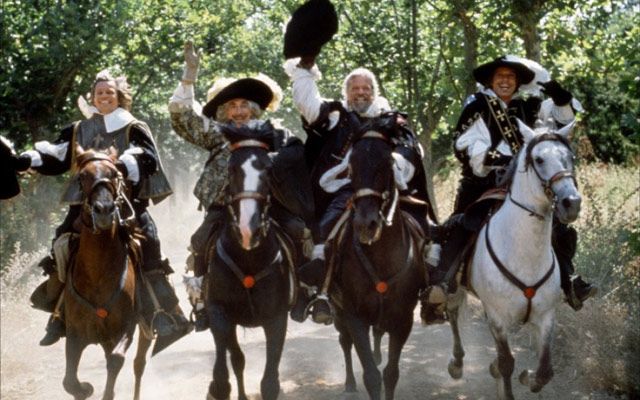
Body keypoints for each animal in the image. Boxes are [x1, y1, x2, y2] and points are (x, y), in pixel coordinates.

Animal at [62, 148, 151, 400]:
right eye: (82, 176)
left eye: (114, 173)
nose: (104, 210)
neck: (97, 276)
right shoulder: (74, 335)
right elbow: (69, 380)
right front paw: (84, 388)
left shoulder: (126, 328)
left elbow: (116, 360)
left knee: (139, 363)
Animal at [204, 127, 296, 400]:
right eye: (232, 169)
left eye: (268, 170)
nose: (248, 229)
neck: (248, 259)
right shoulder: (219, 312)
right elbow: (222, 377)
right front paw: (216, 388)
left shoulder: (276, 318)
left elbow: (270, 383)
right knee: (237, 359)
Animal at [325, 124, 425, 400]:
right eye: (351, 168)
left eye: (386, 164)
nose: (366, 223)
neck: (380, 257)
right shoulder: (354, 316)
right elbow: (371, 375)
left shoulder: (403, 319)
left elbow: (390, 373)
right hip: (339, 313)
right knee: (345, 342)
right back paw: (349, 382)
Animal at [444, 120, 581, 400]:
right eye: (539, 159)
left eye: (570, 157)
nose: (571, 203)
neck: (525, 255)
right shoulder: (497, 317)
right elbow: (507, 362)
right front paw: (501, 373)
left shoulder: (546, 316)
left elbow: (545, 370)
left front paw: (527, 377)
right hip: (454, 287)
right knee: (452, 312)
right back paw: (457, 363)